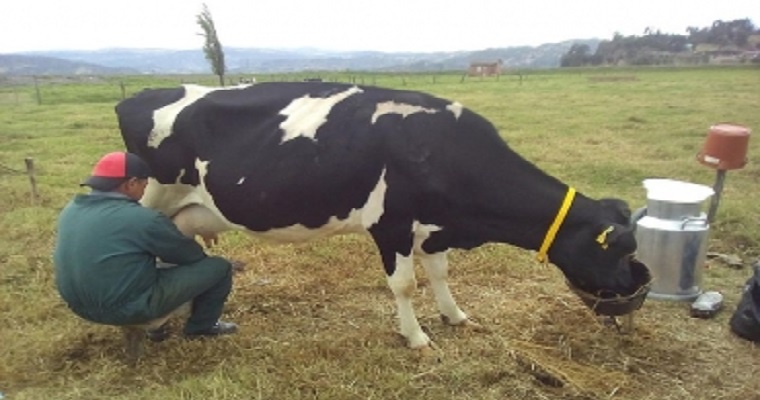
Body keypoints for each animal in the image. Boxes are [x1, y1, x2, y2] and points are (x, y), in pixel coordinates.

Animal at [115, 82, 639, 351]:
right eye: (621, 249)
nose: (636, 289)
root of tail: (139, 94)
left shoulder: (434, 227)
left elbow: (440, 273)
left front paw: (454, 316)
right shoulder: (390, 224)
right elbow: (405, 284)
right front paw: (416, 336)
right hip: (153, 194)